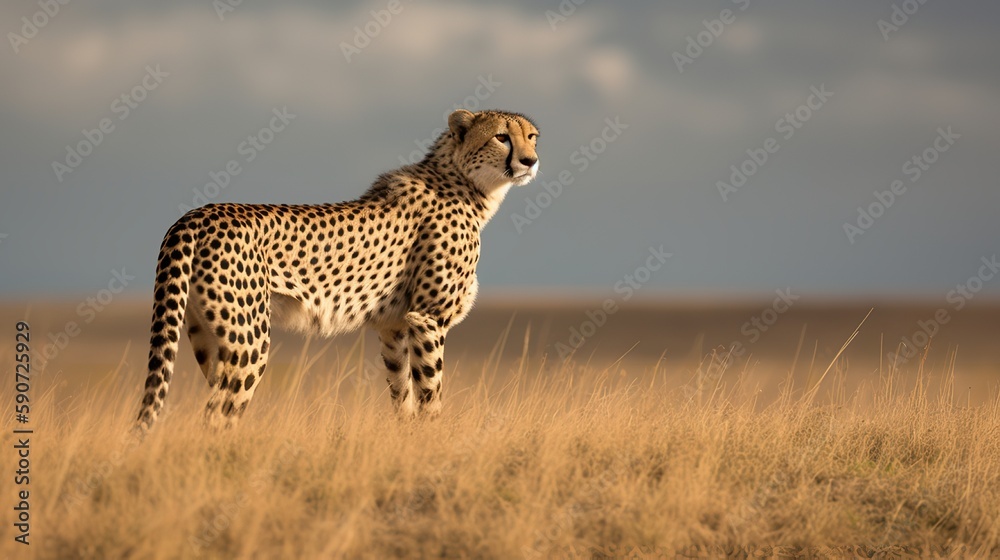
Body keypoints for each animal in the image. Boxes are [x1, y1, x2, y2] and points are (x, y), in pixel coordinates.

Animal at [135, 109, 539, 431]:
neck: (468, 184)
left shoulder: (394, 326)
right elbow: (431, 396)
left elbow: (403, 396)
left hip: (204, 334)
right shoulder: (427, 317)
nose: (530, 161)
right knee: (219, 413)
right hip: (249, 338)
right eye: (502, 136)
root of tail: (196, 214)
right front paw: (434, 444)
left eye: (531, 136)